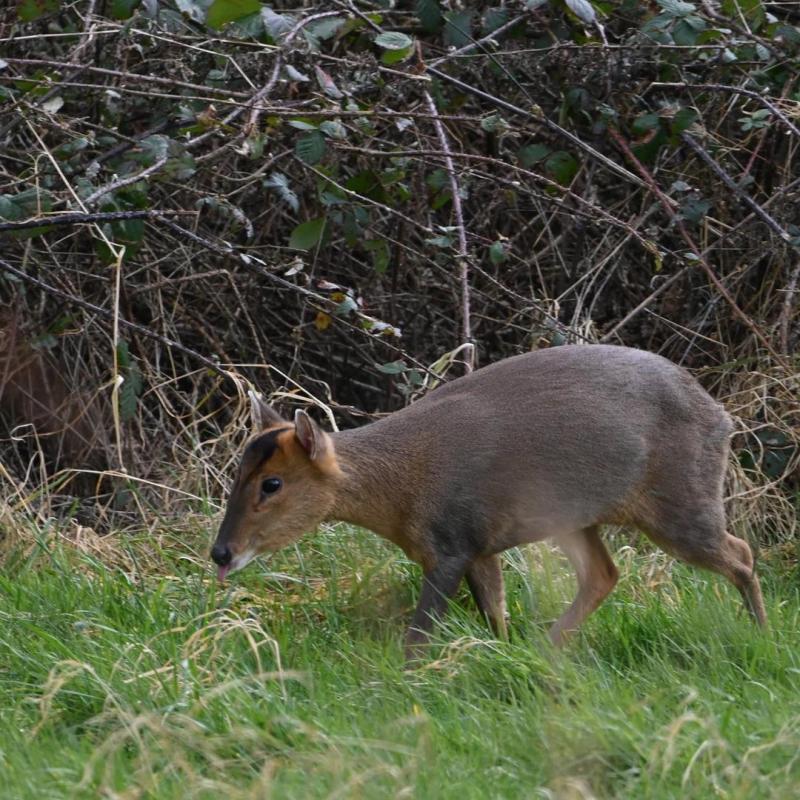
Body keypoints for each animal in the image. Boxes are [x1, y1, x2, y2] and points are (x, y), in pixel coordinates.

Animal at [211, 345, 767, 661]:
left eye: (272, 484)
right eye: (236, 471)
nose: (221, 552)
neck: (401, 492)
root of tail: (722, 416)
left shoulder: (452, 543)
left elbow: (419, 634)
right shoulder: (480, 548)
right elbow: (495, 616)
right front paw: (498, 657)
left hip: (681, 498)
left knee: (741, 552)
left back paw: (761, 635)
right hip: (575, 517)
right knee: (604, 574)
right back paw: (548, 648)